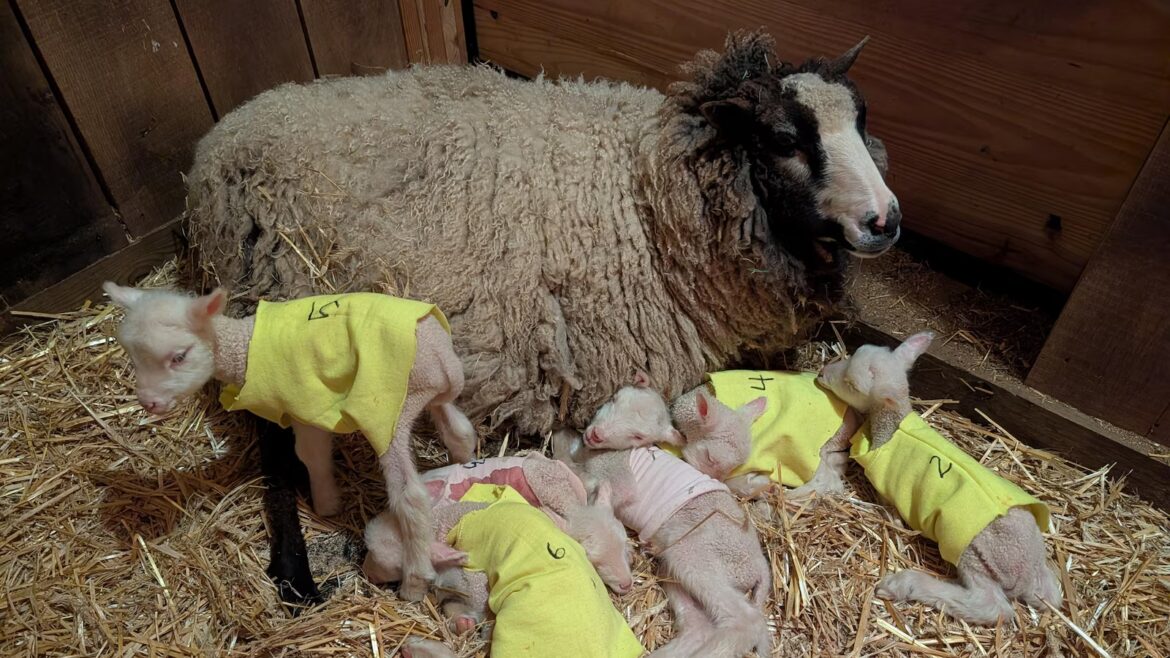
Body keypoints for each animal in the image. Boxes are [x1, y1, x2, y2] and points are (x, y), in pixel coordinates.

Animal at [100, 283, 477, 601]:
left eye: (179, 356)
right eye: (132, 357)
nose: (148, 403)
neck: (244, 347)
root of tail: (441, 356)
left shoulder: (305, 405)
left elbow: (311, 455)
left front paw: (326, 504)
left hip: (387, 411)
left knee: (410, 496)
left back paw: (415, 581)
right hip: (427, 395)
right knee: (460, 431)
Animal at [558, 386, 772, 658]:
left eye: (637, 436)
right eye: (613, 400)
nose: (594, 434)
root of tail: (760, 567)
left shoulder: (616, 474)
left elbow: (585, 481)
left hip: (697, 556)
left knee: (746, 620)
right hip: (674, 568)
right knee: (698, 626)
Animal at [815, 331, 1062, 624]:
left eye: (850, 384)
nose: (822, 372)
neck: (892, 427)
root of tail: (1027, 574)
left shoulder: (887, 489)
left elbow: (890, 510)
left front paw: (892, 520)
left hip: (975, 556)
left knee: (991, 607)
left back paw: (904, 584)